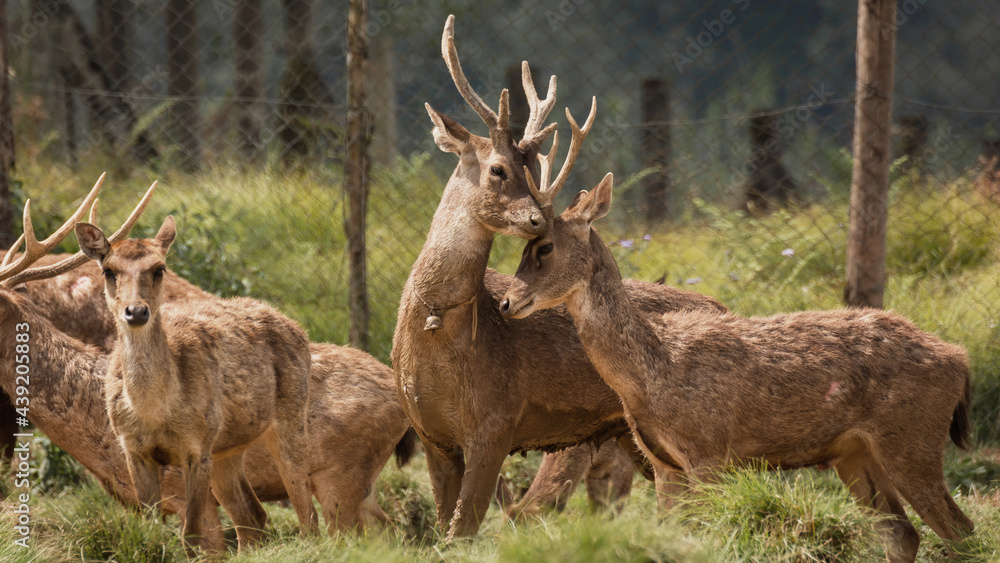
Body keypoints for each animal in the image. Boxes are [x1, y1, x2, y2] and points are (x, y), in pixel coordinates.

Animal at [75, 213, 321, 552]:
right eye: (108, 270)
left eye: (159, 268)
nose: (136, 311)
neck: (155, 412)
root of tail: (296, 326)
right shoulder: (133, 448)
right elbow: (150, 527)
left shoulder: (198, 447)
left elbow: (191, 532)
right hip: (227, 447)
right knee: (253, 514)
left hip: (290, 415)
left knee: (307, 514)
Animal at [392, 15, 726, 540]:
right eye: (498, 169)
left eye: (533, 167)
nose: (539, 218)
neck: (438, 339)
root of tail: (723, 305)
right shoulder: (431, 434)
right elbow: (444, 531)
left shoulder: (496, 422)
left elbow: (462, 531)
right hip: (631, 438)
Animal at [500, 172, 975, 563]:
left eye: (544, 247)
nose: (506, 302)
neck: (652, 375)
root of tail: (960, 359)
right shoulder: (665, 463)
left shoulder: (711, 452)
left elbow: (712, 537)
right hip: (855, 454)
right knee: (904, 535)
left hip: (911, 438)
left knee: (961, 531)